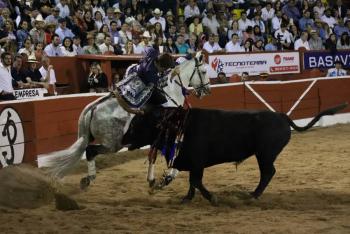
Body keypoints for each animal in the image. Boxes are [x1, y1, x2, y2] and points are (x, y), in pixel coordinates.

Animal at [41, 53, 211, 188]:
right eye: (203, 71)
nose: (207, 90)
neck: (170, 94)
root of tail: (93, 108)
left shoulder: (156, 139)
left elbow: (153, 155)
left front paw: (153, 179)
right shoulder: (166, 136)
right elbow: (173, 153)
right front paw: (168, 177)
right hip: (112, 144)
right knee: (90, 151)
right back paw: (89, 178)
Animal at [122, 103, 348, 204]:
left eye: (136, 124)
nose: (123, 140)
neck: (177, 125)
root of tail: (281, 116)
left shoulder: (197, 162)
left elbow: (196, 180)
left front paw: (212, 198)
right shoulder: (192, 163)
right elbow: (192, 182)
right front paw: (187, 198)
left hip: (265, 154)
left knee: (268, 172)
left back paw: (253, 195)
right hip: (263, 155)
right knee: (268, 173)